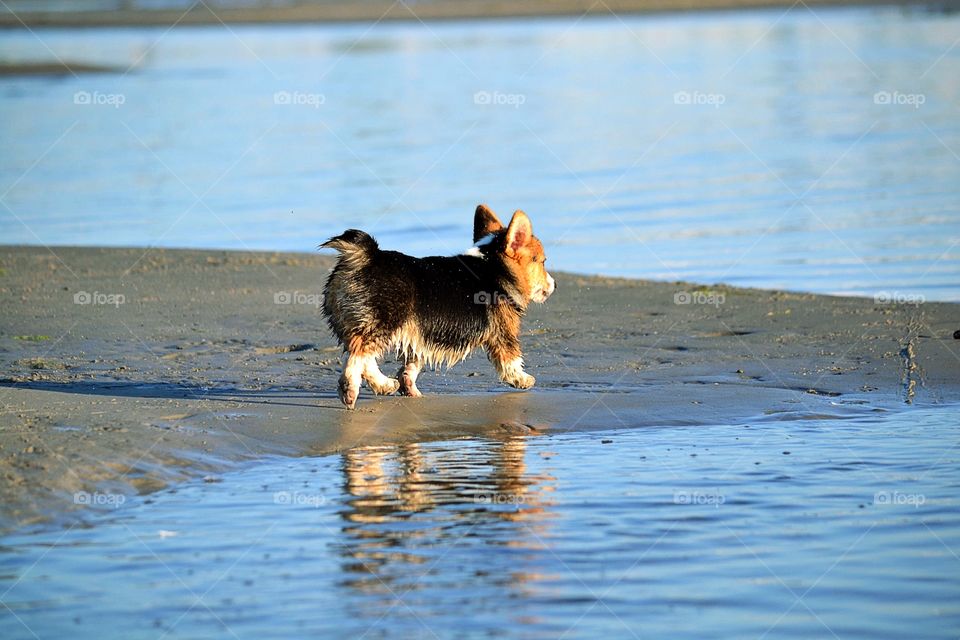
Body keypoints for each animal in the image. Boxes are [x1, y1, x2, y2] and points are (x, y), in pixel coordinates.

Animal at [322, 208, 556, 412]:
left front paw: (409, 388)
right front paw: (523, 379)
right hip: (382, 322)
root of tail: (366, 256)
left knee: (362, 354)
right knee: (358, 354)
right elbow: (511, 359)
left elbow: (412, 365)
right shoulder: (503, 333)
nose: (554, 284)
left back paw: (384, 384)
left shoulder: (417, 335)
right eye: (543, 262)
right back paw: (350, 390)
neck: (494, 267)